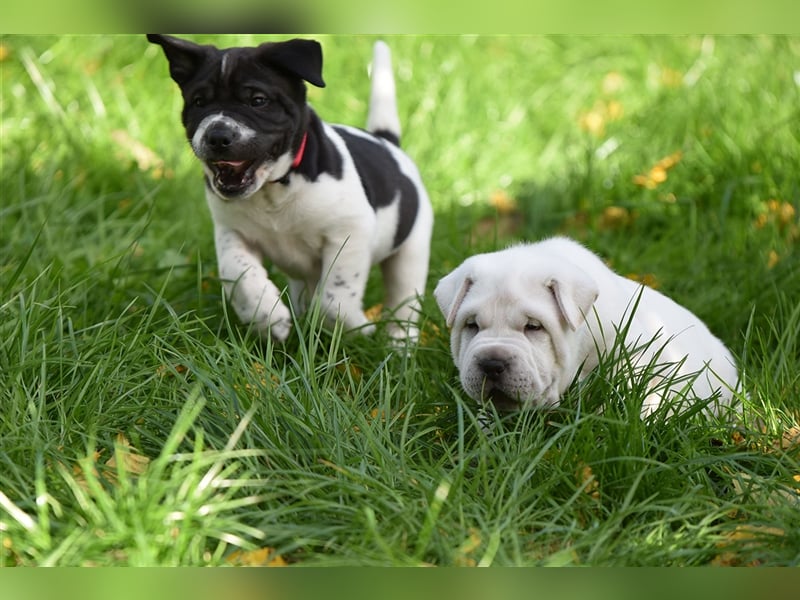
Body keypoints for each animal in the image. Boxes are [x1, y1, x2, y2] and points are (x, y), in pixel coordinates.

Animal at [144, 34, 432, 342]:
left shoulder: (350, 231)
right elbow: (237, 272)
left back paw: (398, 342)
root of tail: (387, 142)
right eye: (198, 102)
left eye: (258, 101)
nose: (217, 136)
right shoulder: (232, 232)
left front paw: (355, 327)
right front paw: (266, 317)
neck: (274, 188)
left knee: (404, 301)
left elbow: (336, 296)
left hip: (411, 251)